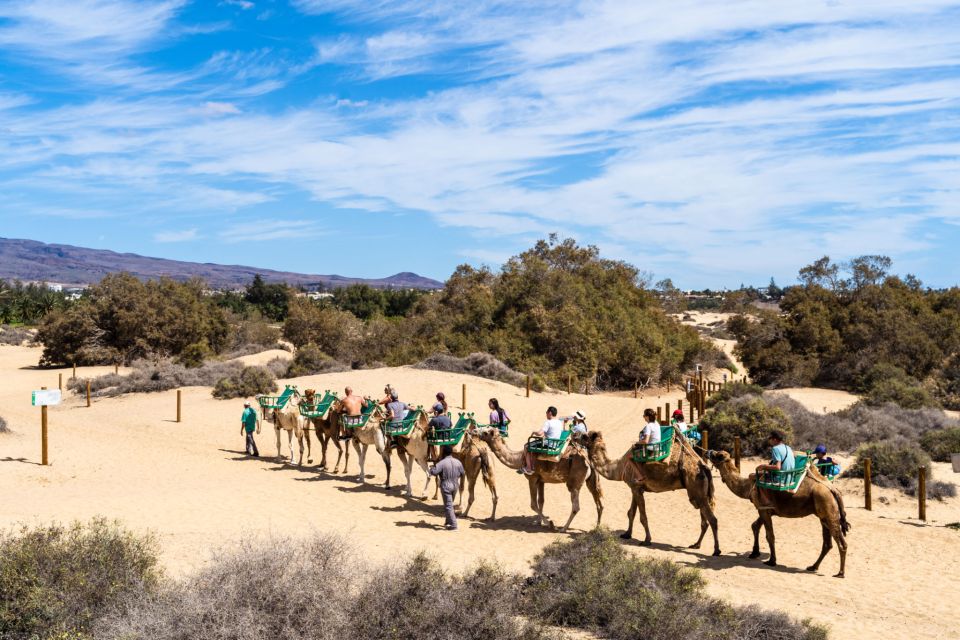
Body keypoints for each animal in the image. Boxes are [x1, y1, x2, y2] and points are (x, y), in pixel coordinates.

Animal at [584, 430, 720, 556]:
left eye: (586, 436)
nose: (579, 436)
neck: (620, 467)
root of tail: (704, 467)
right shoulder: (635, 488)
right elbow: (631, 513)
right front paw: (627, 534)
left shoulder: (636, 487)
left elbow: (643, 517)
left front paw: (647, 540)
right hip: (700, 494)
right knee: (704, 520)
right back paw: (696, 544)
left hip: (696, 489)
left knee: (712, 519)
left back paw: (716, 550)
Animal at [704, 448, 848, 576]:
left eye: (719, 455)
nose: (708, 452)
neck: (749, 487)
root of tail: (833, 489)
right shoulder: (764, 509)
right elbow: (755, 526)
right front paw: (754, 553)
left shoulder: (764, 509)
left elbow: (770, 536)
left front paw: (772, 561)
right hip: (823, 516)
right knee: (827, 543)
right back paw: (813, 566)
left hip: (828, 509)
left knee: (841, 543)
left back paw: (840, 573)